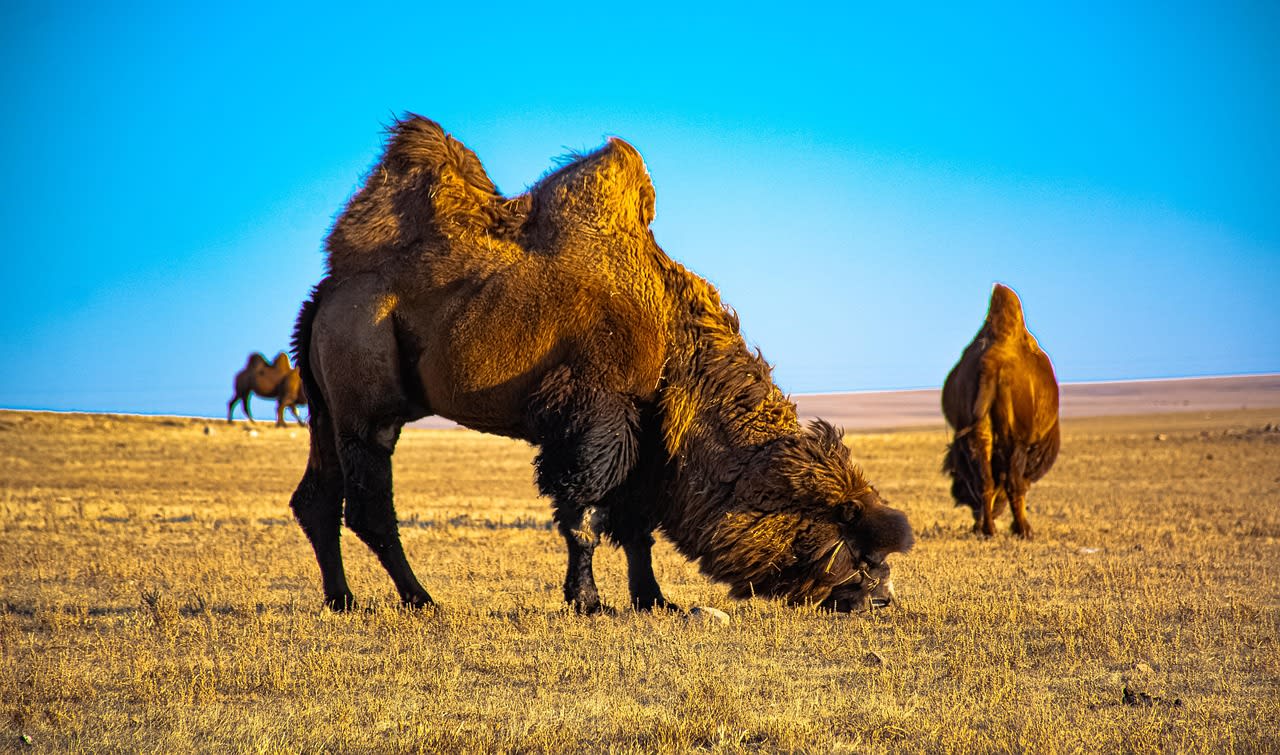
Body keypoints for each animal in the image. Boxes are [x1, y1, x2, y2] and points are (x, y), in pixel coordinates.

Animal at [289, 115, 913, 613]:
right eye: (851, 536)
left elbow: (636, 527)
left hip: (325, 408)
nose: (880, 597)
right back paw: (421, 599)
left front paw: (655, 600)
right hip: (368, 407)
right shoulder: (598, 417)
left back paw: (342, 599)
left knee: (316, 499)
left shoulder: (650, 437)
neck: (674, 346)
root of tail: (325, 296)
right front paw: (589, 603)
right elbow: (585, 517)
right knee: (368, 506)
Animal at [942, 283, 1060, 538]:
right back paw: (1023, 530)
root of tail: (991, 364)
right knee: (1012, 482)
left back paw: (987, 529)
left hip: (979, 431)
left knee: (985, 479)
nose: (959, 495)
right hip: (1014, 438)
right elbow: (1018, 482)